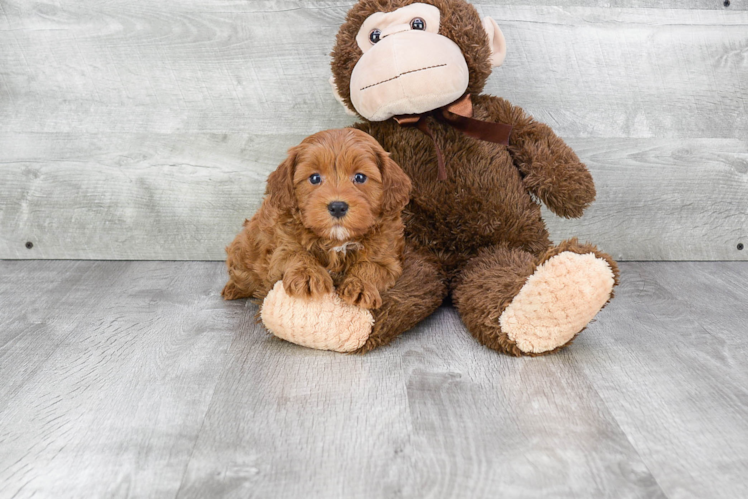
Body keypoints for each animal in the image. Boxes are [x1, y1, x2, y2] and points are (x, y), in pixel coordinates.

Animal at [219, 129, 412, 308]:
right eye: (314, 178)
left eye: (360, 177)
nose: (337, 207)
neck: (336, 241)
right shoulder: (281, 248)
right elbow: (297, 254)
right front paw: (308, 275)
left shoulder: (388, 260)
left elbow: (370, 267)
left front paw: (360, 286)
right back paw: (233, 288)